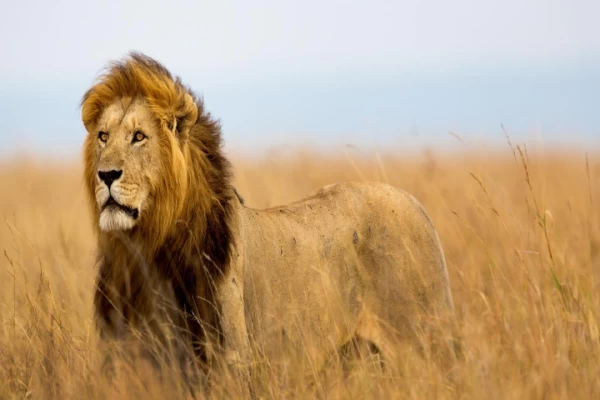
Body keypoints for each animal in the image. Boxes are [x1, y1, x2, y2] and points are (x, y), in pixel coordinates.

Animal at [79, 53, 454, 382]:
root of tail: (417, 205)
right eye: (103, 137)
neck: (144, 249)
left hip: (423, 343)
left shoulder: (229, 361)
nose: (106, 175)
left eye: (139, 137)